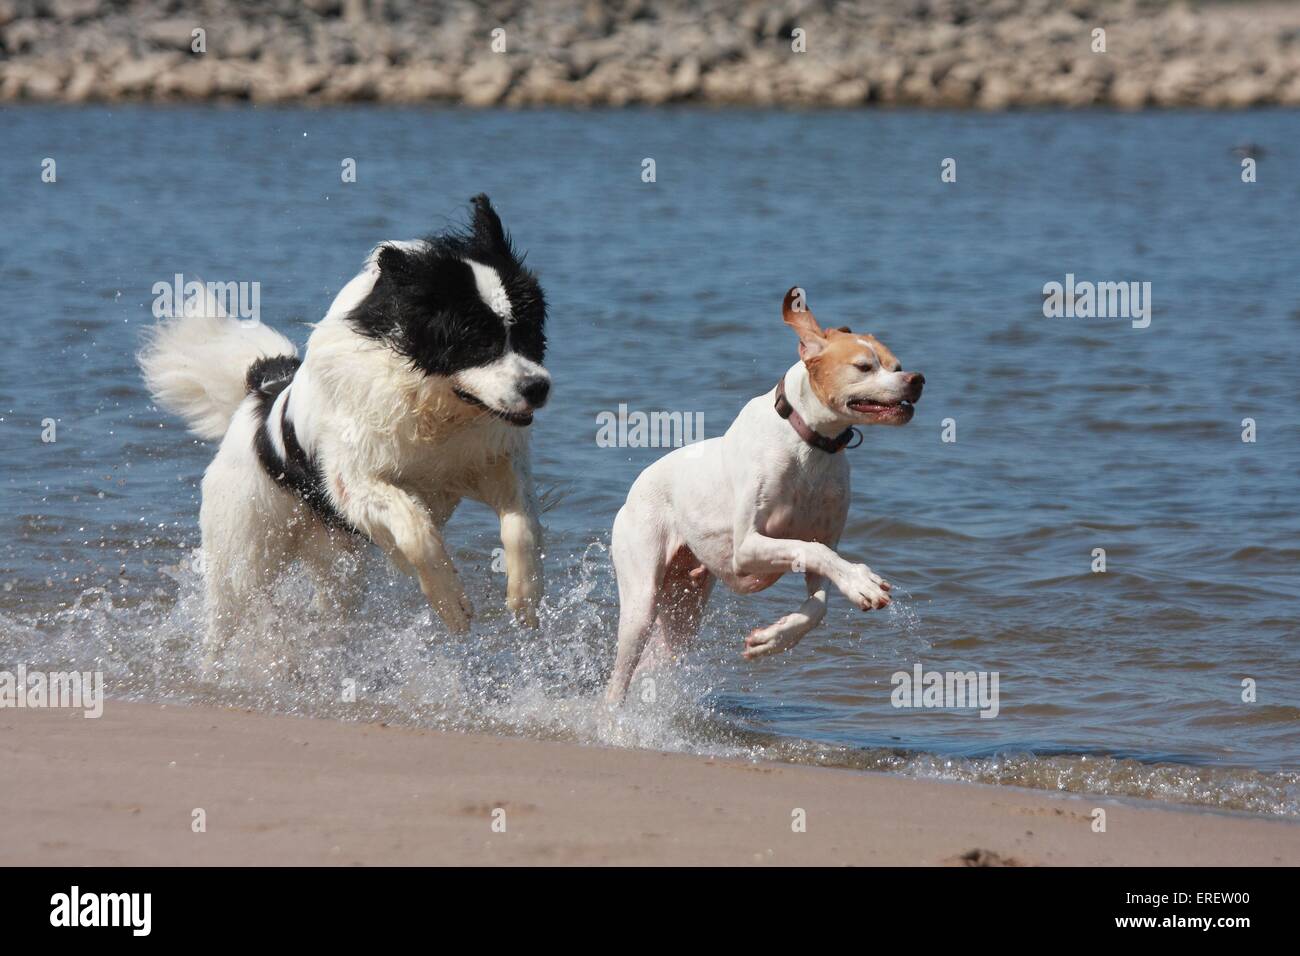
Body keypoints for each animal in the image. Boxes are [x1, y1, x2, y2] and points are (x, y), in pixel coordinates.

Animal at [141, 196, 548, 671]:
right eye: (480, 342)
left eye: (529, 333)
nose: (538, 387)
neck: (431, 399)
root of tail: (262, 391)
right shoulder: (354, 480)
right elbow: (415, 529)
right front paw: (451, 603)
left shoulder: (490, 459)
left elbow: (521, 524)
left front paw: (525, 598)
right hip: (244, 548)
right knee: (225, 615)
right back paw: (212, 671)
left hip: (336, 560)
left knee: (330, 606)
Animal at [605, 286, 925, 702]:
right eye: (864, 367)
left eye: (896, 364)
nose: (917, 379)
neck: (810, 445)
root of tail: (633, 490)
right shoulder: (748, 547)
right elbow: (812, 551)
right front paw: (861, 582)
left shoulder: (826, 539)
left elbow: (818, 603)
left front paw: (772, 640)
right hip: (642, 598)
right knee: (617, 678)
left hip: (686, 607)